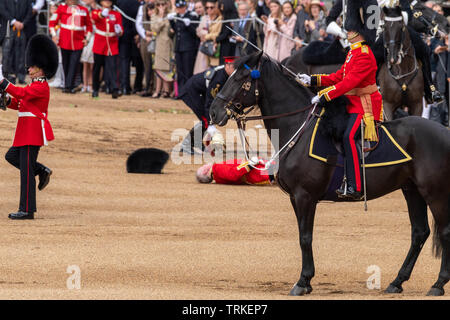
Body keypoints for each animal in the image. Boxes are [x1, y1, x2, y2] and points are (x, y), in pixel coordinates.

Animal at [210, 51, 450, 296]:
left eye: (242, 79)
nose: (213, 111)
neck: (299, 129)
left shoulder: (305, 196)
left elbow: (305, 237)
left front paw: (303, 281)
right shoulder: (295, 198)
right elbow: (302, 235)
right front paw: (306, 281)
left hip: (435, 193)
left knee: (444, 231)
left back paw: (438, 283)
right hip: (412, 190)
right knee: (419, 232)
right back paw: (397, 281)